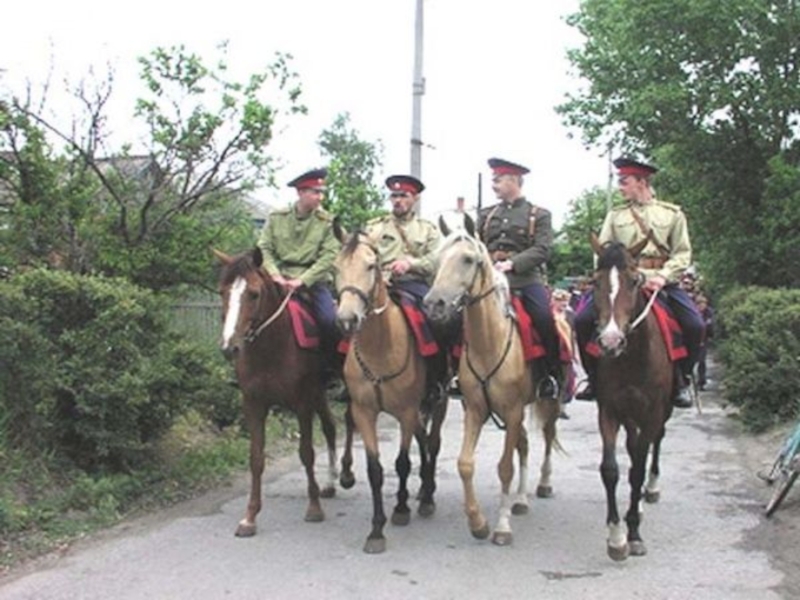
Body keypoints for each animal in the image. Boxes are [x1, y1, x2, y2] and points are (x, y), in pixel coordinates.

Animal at [214, 247, 354, 537]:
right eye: (222, 292)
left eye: (254, 293)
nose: (229, 347)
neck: (272, 347)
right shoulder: (254, 405)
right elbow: (256, 458)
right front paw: (249, 517)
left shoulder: (302, 403)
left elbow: (307, 453)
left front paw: (313, 508)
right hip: (319, 393)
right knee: (330, 427)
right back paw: (330, 483)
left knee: (349, 421)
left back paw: (346, 475)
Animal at [333, 228, 448, 554]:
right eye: (335, 266)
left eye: (371, 266)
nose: (347, 319)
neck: (380, 347)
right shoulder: (364, 411)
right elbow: (375, 469)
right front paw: (376, 530)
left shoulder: (406, 412)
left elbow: (402, 462)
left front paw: (400, 509)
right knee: (424, 440)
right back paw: (423, 491)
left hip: (440, 401)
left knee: (433, 442)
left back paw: (427, 496)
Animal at [422, 231, 564, 546]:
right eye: (438, 259)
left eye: (468, 259)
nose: (435, 303)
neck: (489, 342)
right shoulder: (476, 410)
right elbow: (465, 463)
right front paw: (477, 522)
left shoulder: (511, 411)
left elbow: (505, 468)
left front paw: (501, 527)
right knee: (524, 444)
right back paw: (520, 500)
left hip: (547, 404)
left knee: (547, 436)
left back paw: (545, 483)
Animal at [588, 233, 675, 560]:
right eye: (595, 281)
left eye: (635, 281)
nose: (611, 341)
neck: (632, 359)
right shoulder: (609, 410)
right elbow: (611, 469)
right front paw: (616, 536)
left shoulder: (652, 412)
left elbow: (636, 469)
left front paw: (634, 532)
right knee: (634, 445)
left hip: (662, 411)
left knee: (653, 445)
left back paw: (650, 490)